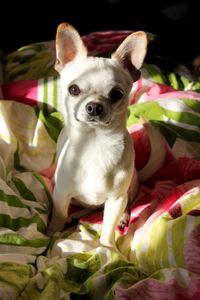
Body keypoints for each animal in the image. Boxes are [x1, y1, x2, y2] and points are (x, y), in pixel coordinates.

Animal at [47, 22, 148, 248]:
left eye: (117, 94)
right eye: (73, 89)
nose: (94, 106)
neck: (94, 142)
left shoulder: (116, 199)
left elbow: (108, 226)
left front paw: (107, 248)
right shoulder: (61, 193)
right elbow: (58, 215)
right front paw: (53, 234)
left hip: (131, 186)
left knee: (123, 205)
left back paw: (123, 217)